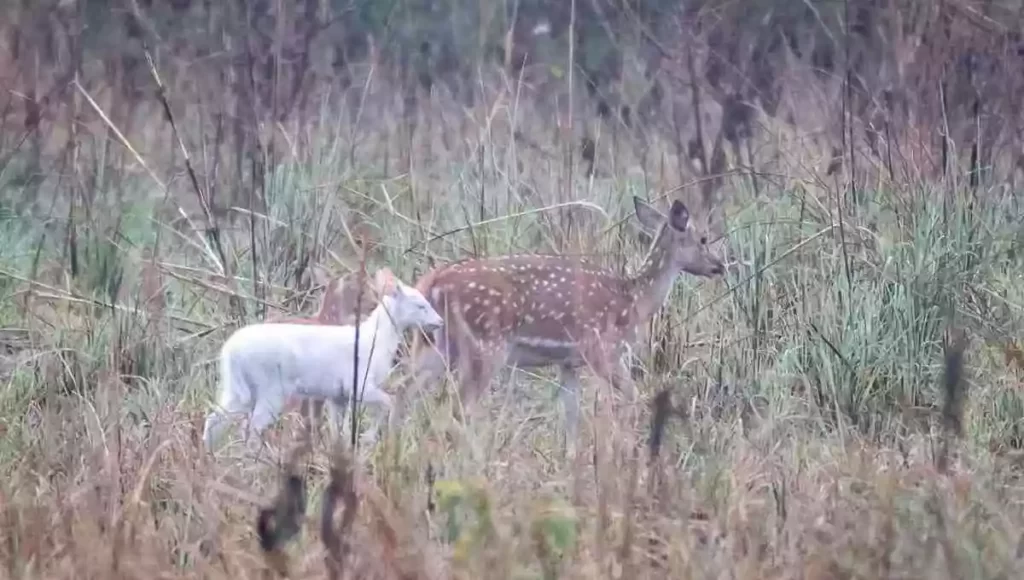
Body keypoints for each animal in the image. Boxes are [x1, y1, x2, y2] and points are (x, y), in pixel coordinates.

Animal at [202, 268, 444, 454]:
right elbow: (388, 402)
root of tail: (229, 351)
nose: (440, 321)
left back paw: (210, 455)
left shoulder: (338, 396)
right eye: (420, 305)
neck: (376, 341)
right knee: (252, 426)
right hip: (270, 388)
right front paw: (367, 438)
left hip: (237, 388)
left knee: (215, 419)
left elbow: (340, 429)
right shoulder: (359, 384)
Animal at [403, 197, 724, 448]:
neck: (634, 300)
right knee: (457, 408)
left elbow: (572, 415)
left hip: (435, 344)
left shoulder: (568, 362)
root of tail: (433, 282)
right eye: (703, 238)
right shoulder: (602, 349)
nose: (720, 266)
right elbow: (630, 397)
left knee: (403, 392)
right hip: (485, 345)